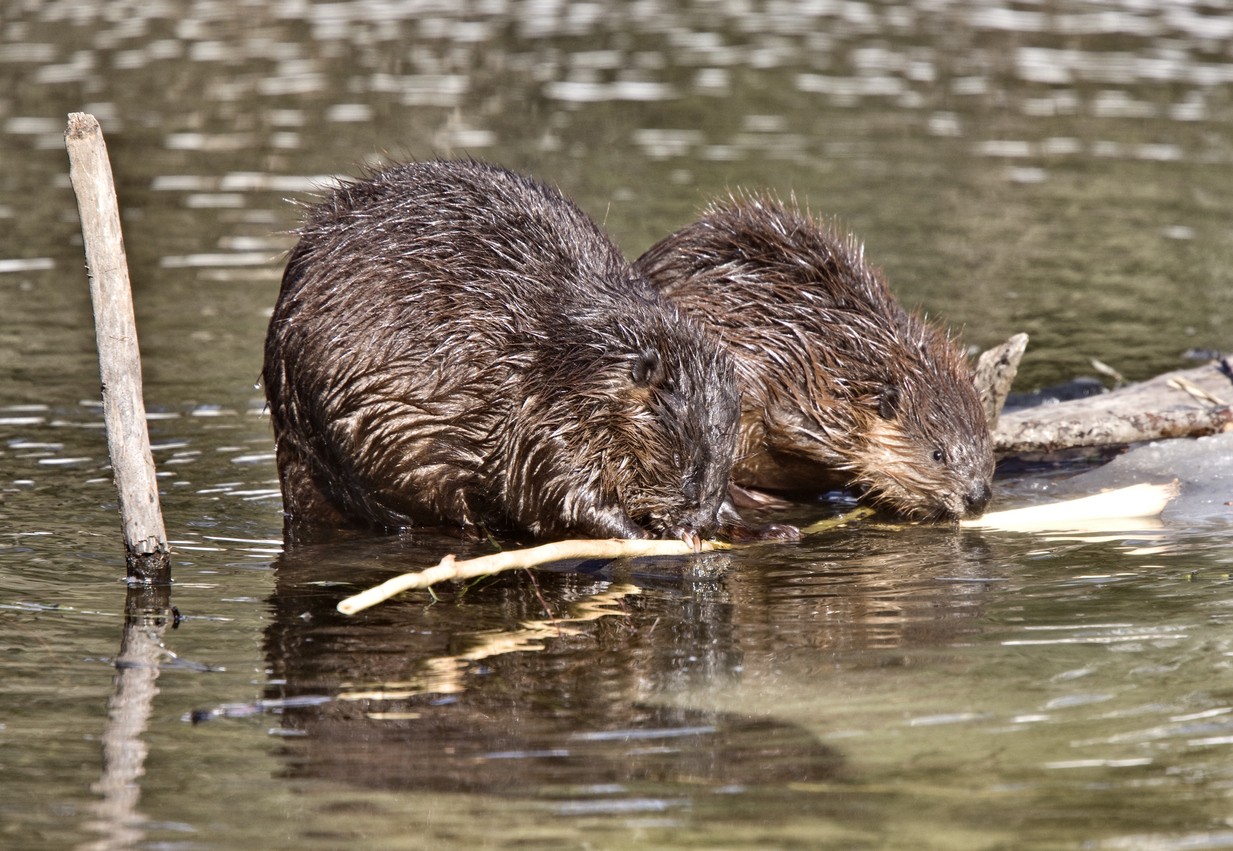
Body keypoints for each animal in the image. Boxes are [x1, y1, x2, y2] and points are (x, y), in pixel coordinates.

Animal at [265, 157, 794, 542]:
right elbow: (555, 488)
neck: (579, 349)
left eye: (719, 465)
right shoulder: (544, 411)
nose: (698, 523)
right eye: (689, 468)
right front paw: (648, 536)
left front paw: (763, 527)